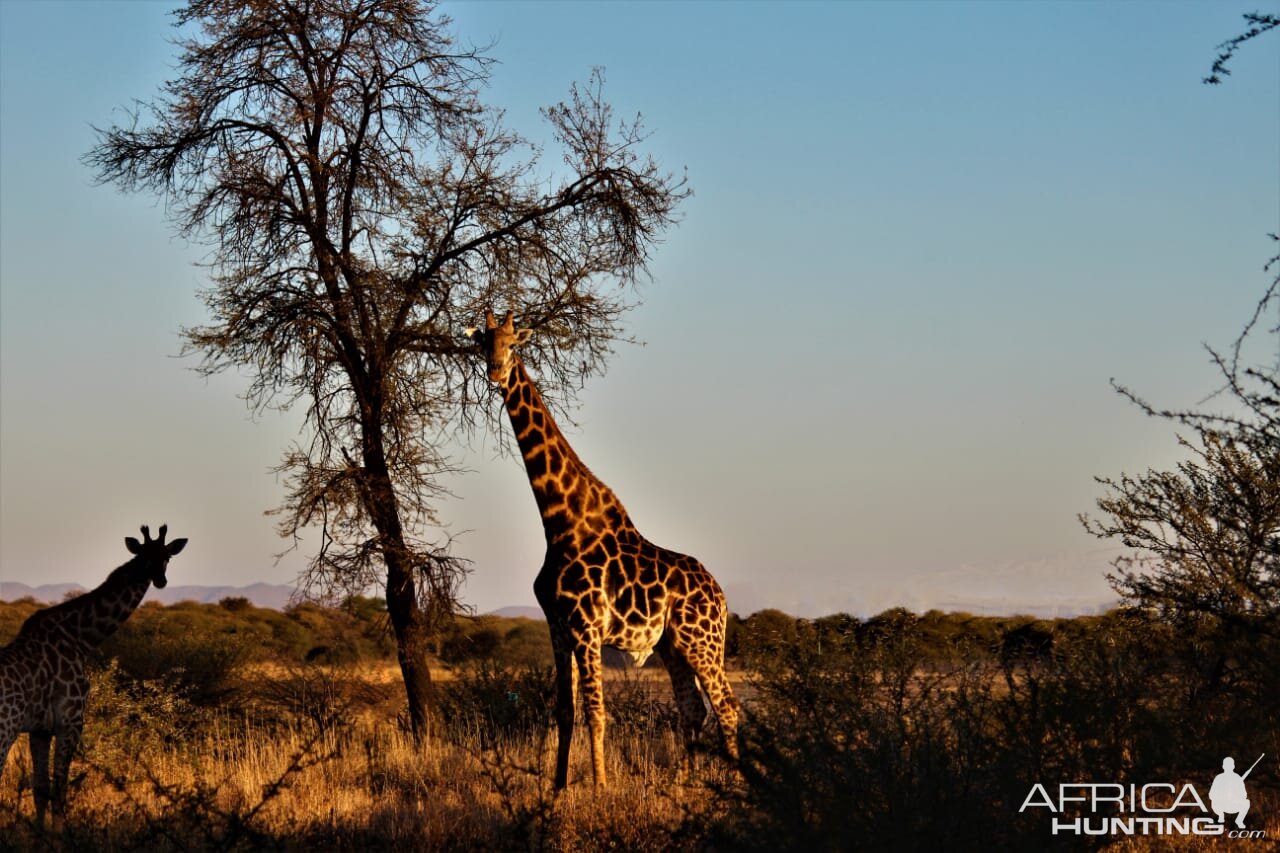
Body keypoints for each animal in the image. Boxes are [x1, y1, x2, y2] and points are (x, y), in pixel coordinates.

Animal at [0, 522, 188, 824]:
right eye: (143, 556)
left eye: (167, 556)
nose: (160, 581)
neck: (81, 637)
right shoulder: (71, 721)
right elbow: (60, 789)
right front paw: (61, 833)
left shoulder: (40, 729)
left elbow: (41, 789)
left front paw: (41, 834)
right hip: (5, 730)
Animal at [468, 308, 742, 788]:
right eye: (484, 342)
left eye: (513, 344)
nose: (496, 372)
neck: (558, 520)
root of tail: (720, 595)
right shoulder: (558, 627)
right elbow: (564, 711)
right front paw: (558, 789)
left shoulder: (587, 626)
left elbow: (596, 712)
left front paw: (599, 788)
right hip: (672, 645)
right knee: (693, 708)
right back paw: (685, 785)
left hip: (701, 640)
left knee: (727, 706)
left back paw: (740, 785)